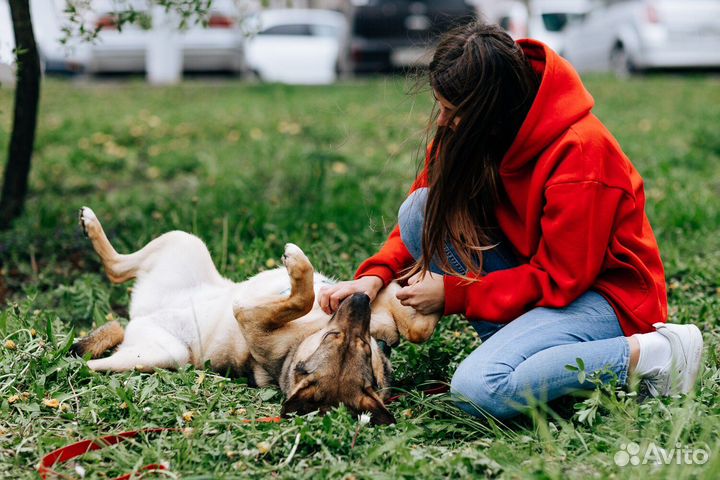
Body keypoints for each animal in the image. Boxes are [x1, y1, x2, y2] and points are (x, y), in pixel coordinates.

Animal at [71, 206, 438, 424]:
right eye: (337, 336)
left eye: (355, 344)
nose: (359, 301)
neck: (299, 345)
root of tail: (140, 316)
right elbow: (414, 324)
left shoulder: (250, 316)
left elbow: (303, 297)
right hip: (185, 244)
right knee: (118, 268)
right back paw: (91, 225)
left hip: (160, 354)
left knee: (93, 350)